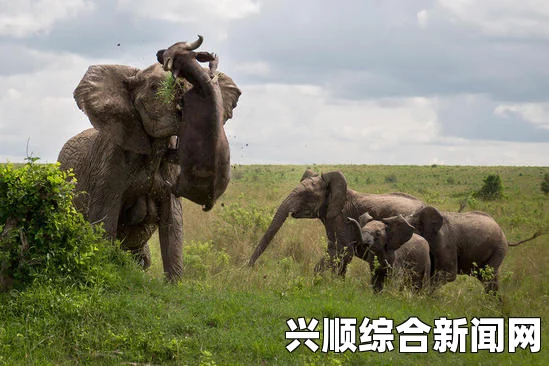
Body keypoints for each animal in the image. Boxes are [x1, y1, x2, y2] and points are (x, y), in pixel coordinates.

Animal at [56, 35, 241, 278]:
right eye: (154, 88)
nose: (163, 53)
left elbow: (174, 225)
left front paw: (174, 283)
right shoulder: (109, 165)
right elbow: (104, 222)